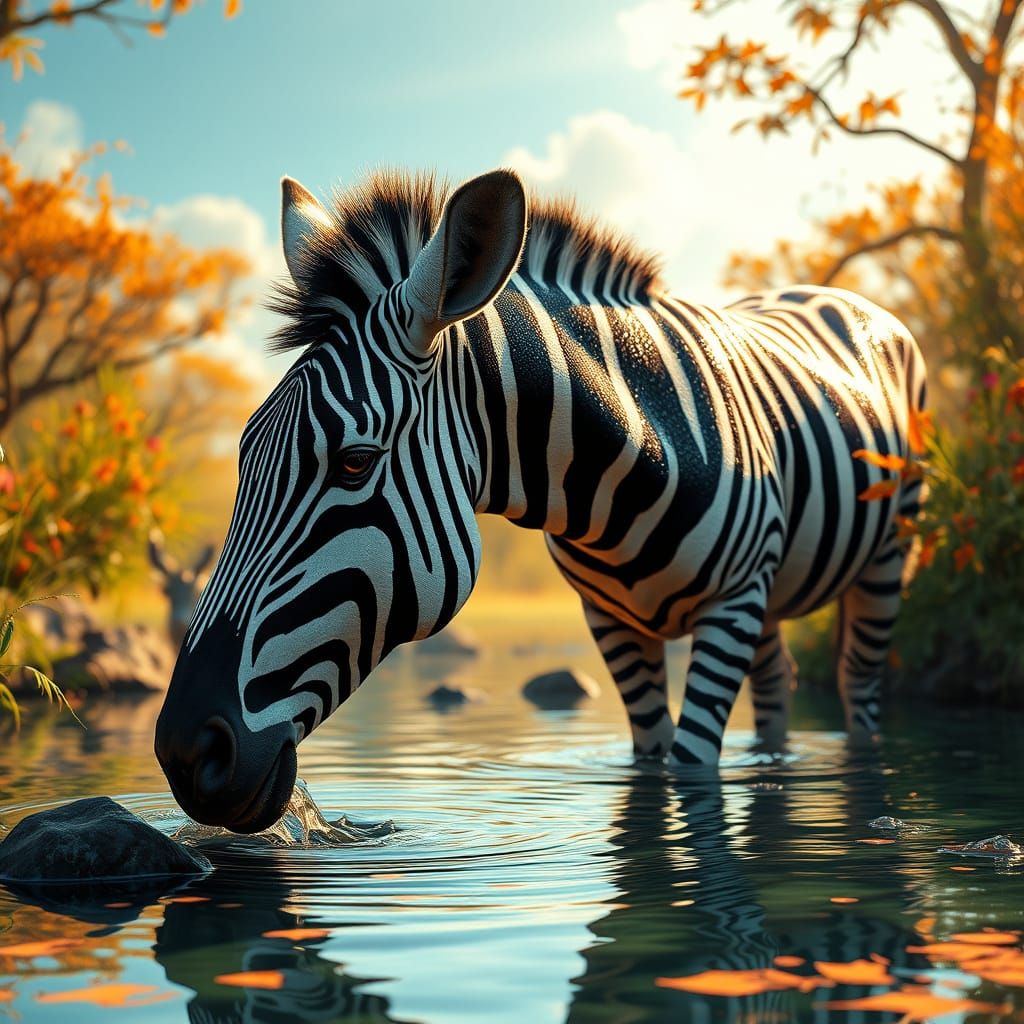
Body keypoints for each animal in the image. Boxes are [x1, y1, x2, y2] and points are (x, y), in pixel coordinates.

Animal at [154, 168, 927, 832]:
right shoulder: (613, 620)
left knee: (858, 688)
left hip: (885, 557)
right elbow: (651, 764)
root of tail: (847, 299)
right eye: (245, 454)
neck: (636, 456)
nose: (186, 753)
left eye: (353, 463)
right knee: (778, 685)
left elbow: (689, 768)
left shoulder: (731, 605)